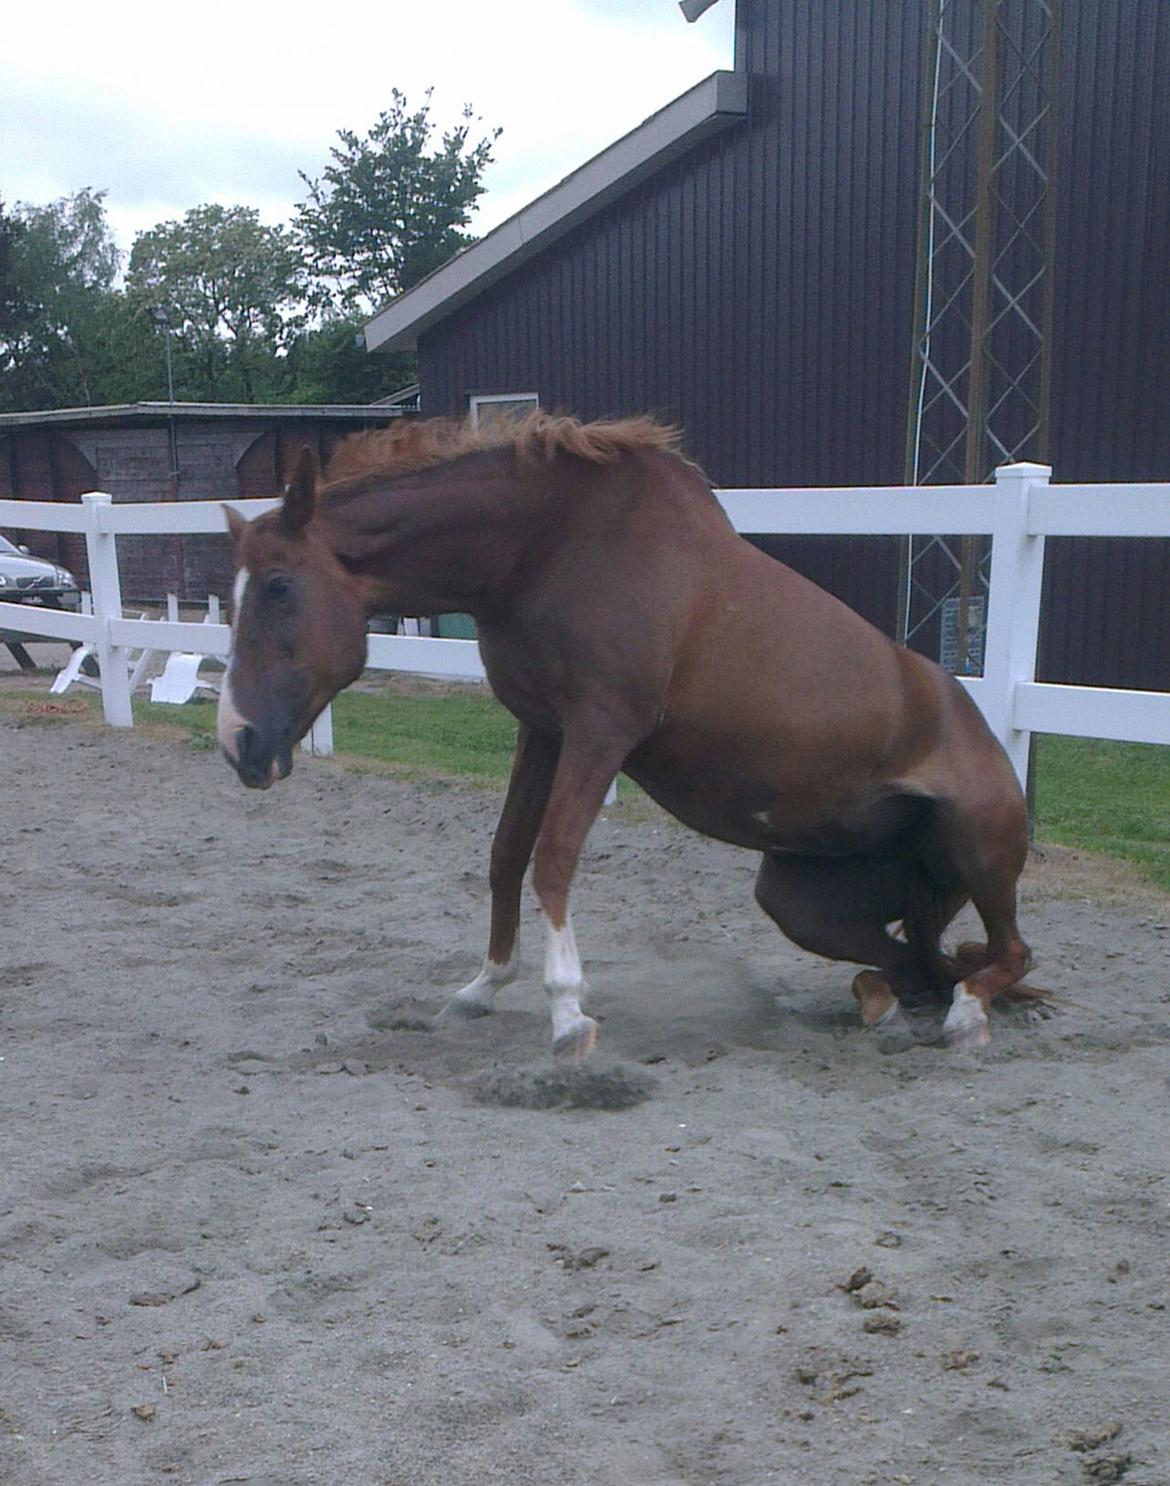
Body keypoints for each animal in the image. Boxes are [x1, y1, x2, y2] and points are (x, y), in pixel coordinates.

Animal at [215, 413, 1028, 1052]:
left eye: (279, 586)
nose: (238, 742)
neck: (550, 545)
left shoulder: (600, 733)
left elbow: (552, 860)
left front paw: (568, 1014)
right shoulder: (541, 729)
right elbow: (506, 855)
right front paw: (484, 986)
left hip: (977, 851)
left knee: (1007, 956)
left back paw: (964, 1017)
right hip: (799, 901)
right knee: (911, 963)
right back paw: (884, 1007)